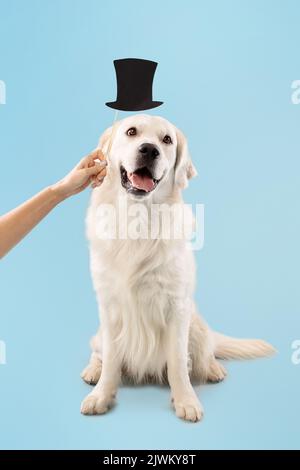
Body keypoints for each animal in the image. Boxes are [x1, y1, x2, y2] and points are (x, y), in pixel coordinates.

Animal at [79, 114, 274, 422]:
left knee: (203, 354)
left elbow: (178, 364)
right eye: (131, 132)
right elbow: (111, 359)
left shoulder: (176, 306)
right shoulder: (109, 306)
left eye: (167, 140)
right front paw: (101, 395)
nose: (149, 150)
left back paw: (213, 368)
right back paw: (92, 370)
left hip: (197, 327)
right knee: (97, 351)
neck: (137, 218)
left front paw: (186, 400)